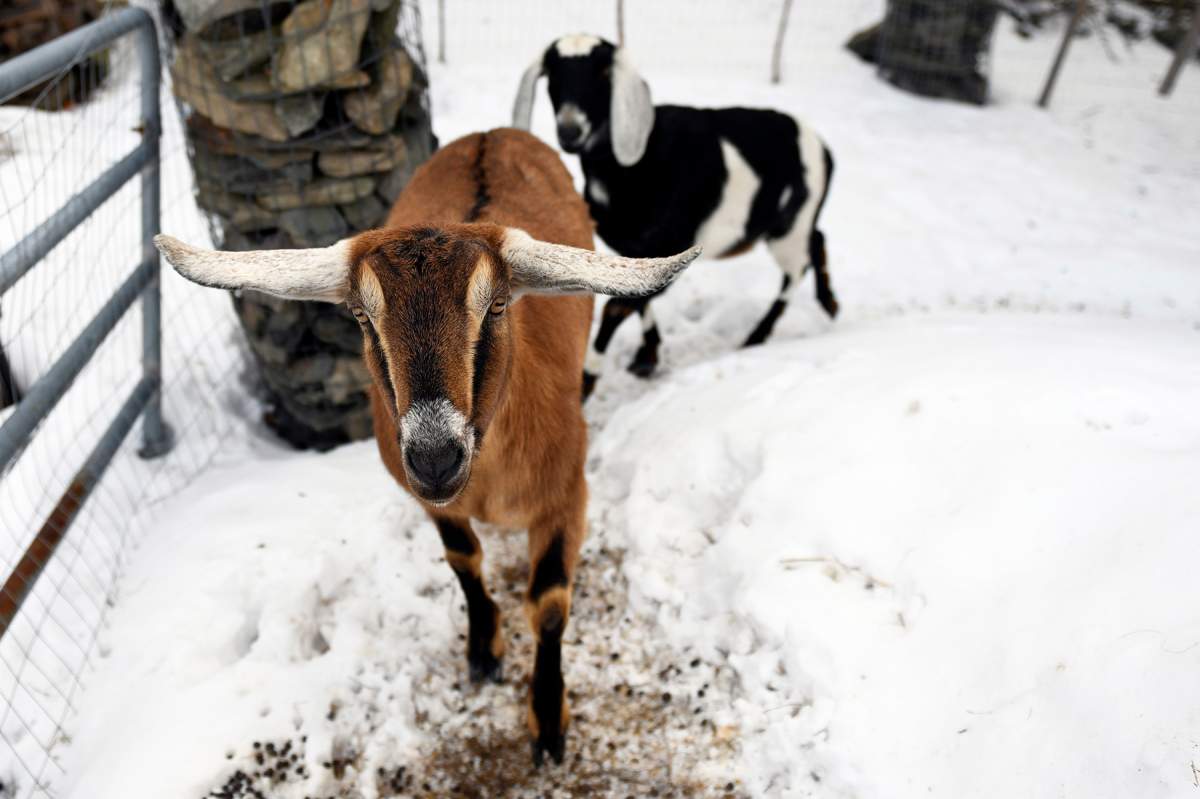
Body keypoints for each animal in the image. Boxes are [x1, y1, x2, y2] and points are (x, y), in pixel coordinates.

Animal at [154, 128, 698, 766]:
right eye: (362, 314)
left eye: (496, 304)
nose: (436, 457)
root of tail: (492, 133)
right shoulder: (429, 500)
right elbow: (464, 560)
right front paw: (483, 651)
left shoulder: (567, 495)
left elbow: (548, 603)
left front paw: (547, 723)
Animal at [513, 34, 838, 398]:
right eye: (552, 75)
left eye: (603, 73)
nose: (570, 132)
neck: (636, 165)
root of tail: (823, 149)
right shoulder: (637, 250)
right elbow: (637, 295)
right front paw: (647, 356)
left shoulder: (674, 242)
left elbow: (617, 305)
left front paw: (588, 380)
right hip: (794, 223)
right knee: (817, 239)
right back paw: (829, 303)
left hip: (790, 229)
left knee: (796, 270)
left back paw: (758, 335)